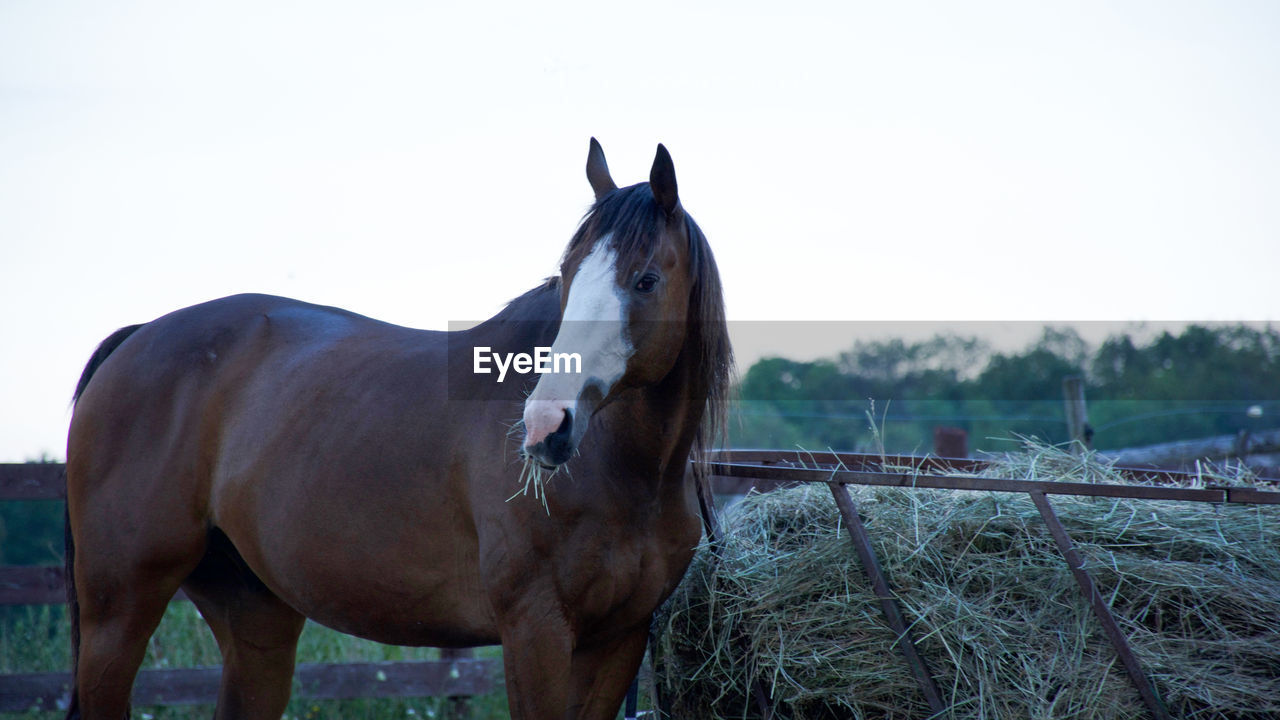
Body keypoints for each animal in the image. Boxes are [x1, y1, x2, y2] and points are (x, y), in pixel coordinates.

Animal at [64, 135, 732, 717]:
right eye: (568, 276)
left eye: (646, 280)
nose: (546, 427)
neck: (626, 473)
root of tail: (137, 337)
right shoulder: (535, 631)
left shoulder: (620, 638)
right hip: (119, 612)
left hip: (255, 618)